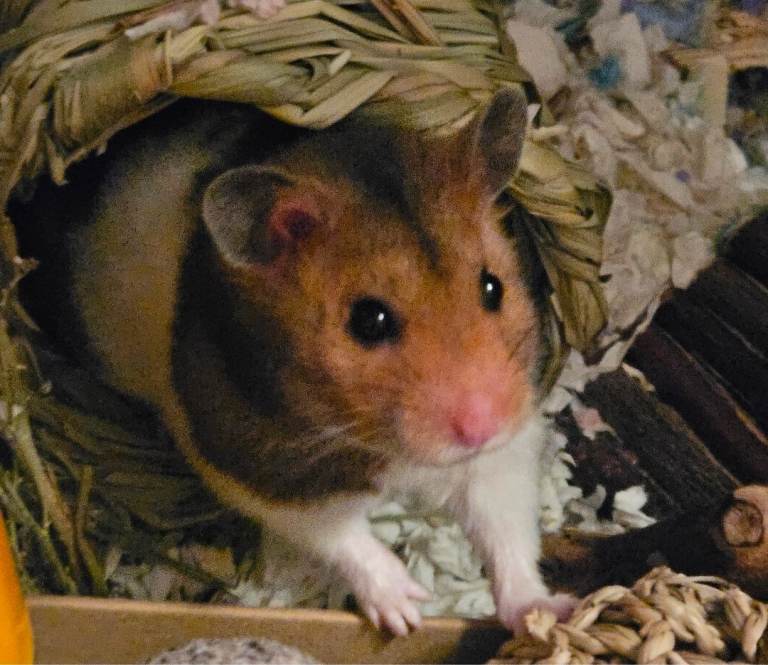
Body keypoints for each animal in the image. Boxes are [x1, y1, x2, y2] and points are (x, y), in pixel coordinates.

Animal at [16, 89, 574, 635]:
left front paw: (546, 616)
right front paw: (407, 612)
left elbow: (505, 529)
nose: (481, 427)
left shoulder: (504, 450)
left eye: (492, 287)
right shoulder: (258, 468)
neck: (391, 449)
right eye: (368, 320)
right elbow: (339, 535)